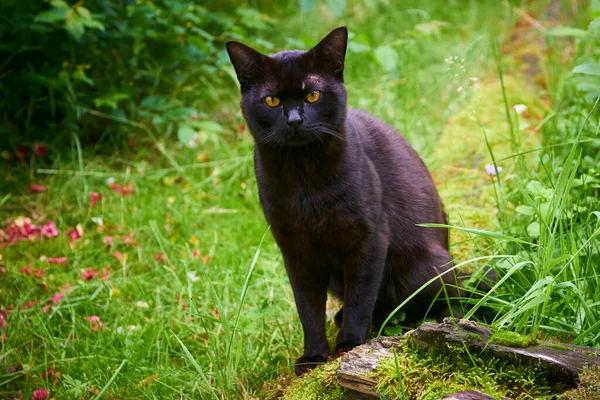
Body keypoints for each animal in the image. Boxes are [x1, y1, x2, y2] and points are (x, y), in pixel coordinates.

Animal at [227, 26, 458, 374]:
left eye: (313, 95)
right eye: (271, 100)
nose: (294, 120)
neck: (304, 180)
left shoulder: (370, 239)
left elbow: (361, 296)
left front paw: (349, 344)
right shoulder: (295, 252)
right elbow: (307, 308)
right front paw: (313, 356)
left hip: (421, 270)